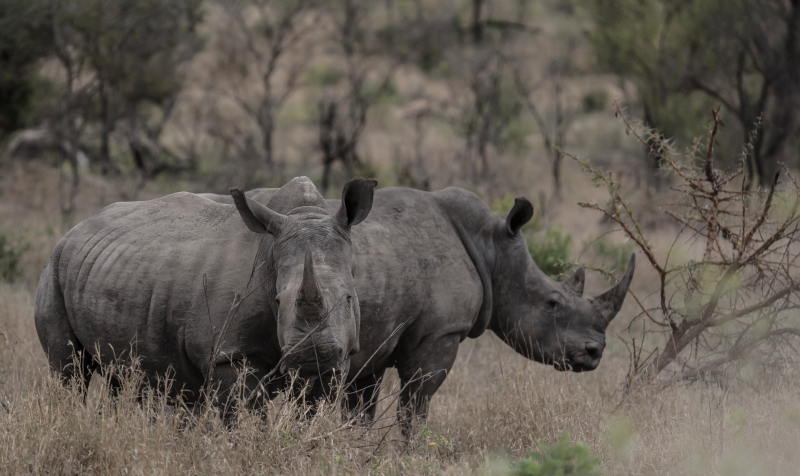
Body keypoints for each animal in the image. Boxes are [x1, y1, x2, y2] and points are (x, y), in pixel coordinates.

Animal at [34, 177, 377, 413]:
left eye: (349, 298)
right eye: (279, 302)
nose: (310, 355)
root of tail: (73, 230)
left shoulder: (339, 358)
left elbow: (312, 417)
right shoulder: (230, 353)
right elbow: (244, 419)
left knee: (120, 378)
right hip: (54, 270)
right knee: (69, 371)